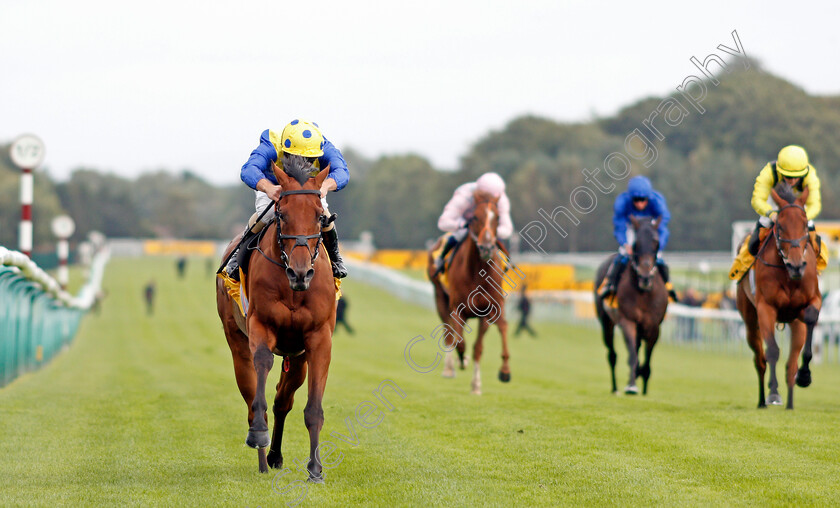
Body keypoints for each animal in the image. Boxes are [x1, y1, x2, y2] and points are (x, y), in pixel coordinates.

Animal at [217, 157, 338, 478]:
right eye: (282, 214)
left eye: (320, 216)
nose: (300, 273)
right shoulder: (262, 324)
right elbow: (262, 362)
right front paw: (259, 433)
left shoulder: (318, 338)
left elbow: (312, 408)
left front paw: (315, 468)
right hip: (236, 340)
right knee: (251, 395)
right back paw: (262, 455)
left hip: (297, 358)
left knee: (283, 400)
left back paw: (274, 456)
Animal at [430, 192, 516, 394]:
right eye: (475, 217)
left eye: (497, 217)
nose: (486, 248)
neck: (478, 272)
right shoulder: (457, 309)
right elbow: (460, 342)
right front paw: (462, 361)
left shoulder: (489, 309)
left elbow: (479, 347)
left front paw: (479, 384)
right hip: (440, 297)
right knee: (448, 333)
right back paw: (449, 368)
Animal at [592, 216, 668, 394]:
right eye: (635, 243)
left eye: (656, 242)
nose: (645, 276)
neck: (644, 292)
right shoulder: (627, 321)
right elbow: (632, 355)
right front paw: (632, 385)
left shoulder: (654, 326)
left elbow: (647, 359)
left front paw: (644, 386)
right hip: (606, 323)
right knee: (612, 355)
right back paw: (615, 388)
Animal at [736, 183, 820, 408]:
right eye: (780, 226)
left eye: (805, 225)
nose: (796, 265)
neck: (788, 274)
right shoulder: (766, 307)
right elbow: (772, 351)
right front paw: (773, 393)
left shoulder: (812, 301)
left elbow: (810, 320)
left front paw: (805, 376)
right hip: (750, 319)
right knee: (760, 359)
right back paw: (763, 400)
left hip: (795, 323)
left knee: (791, 363)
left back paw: (791, 400)